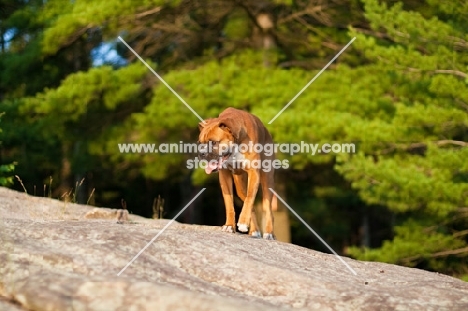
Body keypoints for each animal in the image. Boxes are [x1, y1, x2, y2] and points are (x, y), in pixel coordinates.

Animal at [198, 106, 278, 240]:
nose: (201, 153)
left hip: (267, 179)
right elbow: (229, 204)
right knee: (249, 204)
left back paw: (269, 233)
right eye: (200, 143)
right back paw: (254, 231)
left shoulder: (254, 173)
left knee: (267, 208)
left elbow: (250, 198)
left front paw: (243, 223)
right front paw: (229, 226)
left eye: (213, 142)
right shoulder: (224, 176)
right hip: (240, 186)